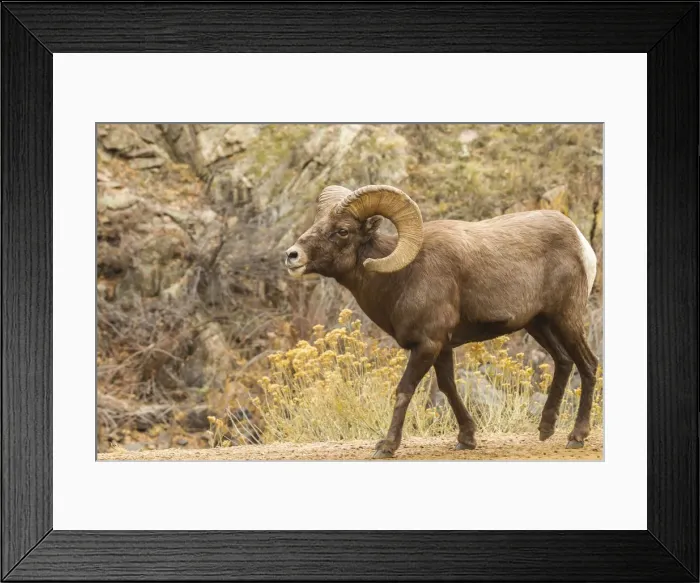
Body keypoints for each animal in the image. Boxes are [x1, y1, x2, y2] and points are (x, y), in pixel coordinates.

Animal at [285, 185, 599, 458]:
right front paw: (467, 439)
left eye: (342, 231)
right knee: (563, 362)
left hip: (566, 318)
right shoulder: (441, 347)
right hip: (539, 324)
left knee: (588, 364)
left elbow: (404, 390)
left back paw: (577, 437)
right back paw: (546, 429)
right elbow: (449, 388)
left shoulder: (427, 345)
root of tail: (581, 242)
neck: (402, 277)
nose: (292, 256)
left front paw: (386, 447)